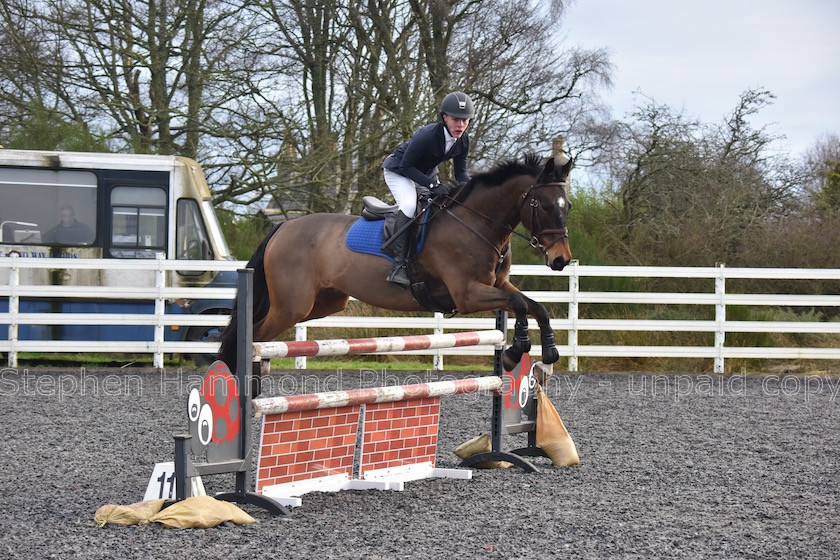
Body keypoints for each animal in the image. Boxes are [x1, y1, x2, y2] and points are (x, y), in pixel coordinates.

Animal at [217, 151, 576, 374]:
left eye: (568, 206)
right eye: (544, 206)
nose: (561, 260)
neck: (477, 224)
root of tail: (284, 226)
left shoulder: (497, 284)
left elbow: (535, 306)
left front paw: (547, 354)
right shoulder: (468, 294)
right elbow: (519, 304)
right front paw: (516, 352)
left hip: (322, 303)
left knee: (260, 331)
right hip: (292, 305)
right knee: (255, 334)